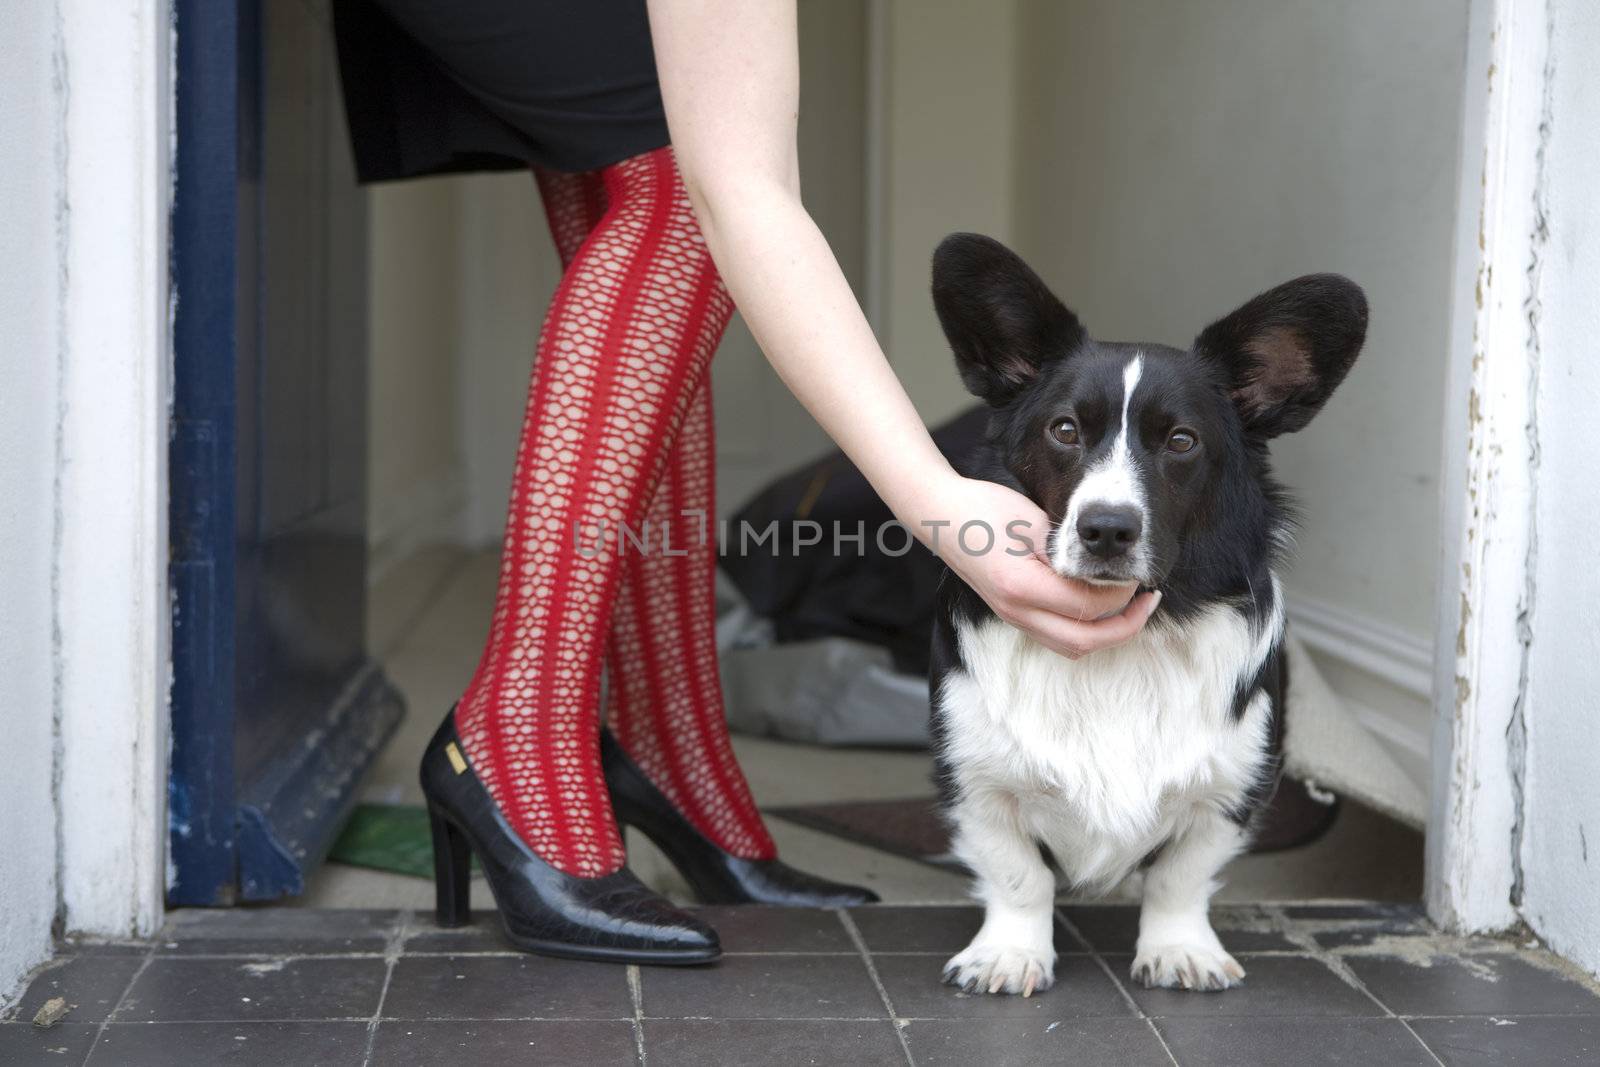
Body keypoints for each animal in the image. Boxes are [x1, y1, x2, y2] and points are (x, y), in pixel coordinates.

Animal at [934, 235, 1369, 1004]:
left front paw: (1180, 950)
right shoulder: (978, 781)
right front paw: (1010, 953)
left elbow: (1179, 877)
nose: (1107, 529)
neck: (1125, 648)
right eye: (1065, 429)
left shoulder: (1230, 790)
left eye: (1182, 441)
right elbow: (1018, 874)